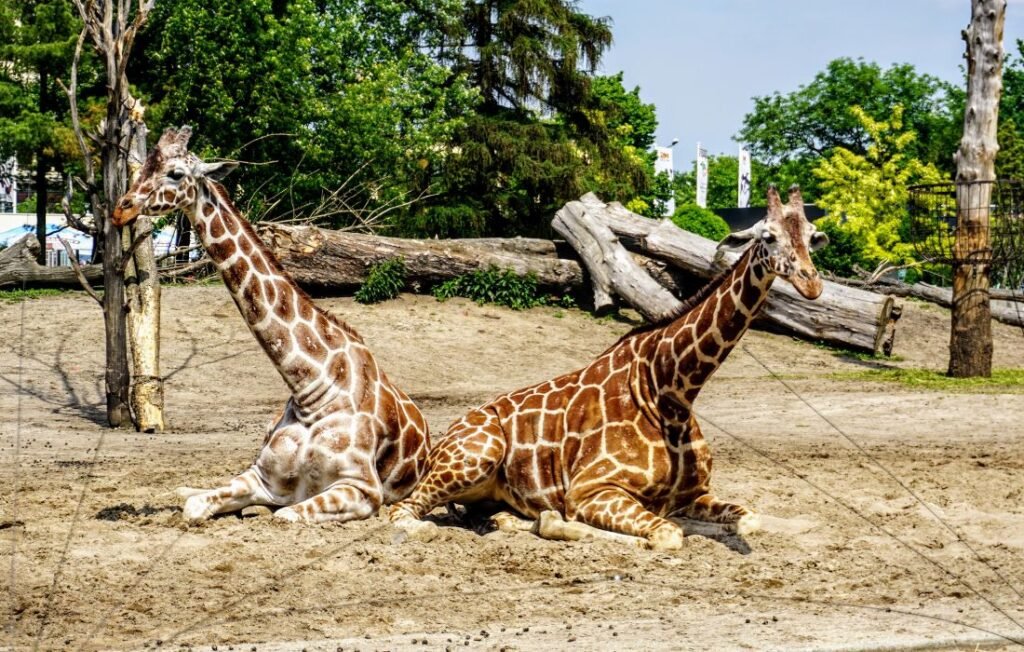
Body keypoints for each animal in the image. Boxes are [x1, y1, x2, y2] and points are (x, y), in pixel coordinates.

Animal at [112, 126, 429, 524]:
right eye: (142, 167)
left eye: (175, 173)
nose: (120, 209)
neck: (310, 388)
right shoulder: (261, 476)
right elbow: (195, 505)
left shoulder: (362, 490)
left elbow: (286, 515)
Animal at [389, 185, 828, 550]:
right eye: (767, 236)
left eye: (811, 236)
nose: (812, 284)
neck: (671, 389)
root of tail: (442, 439)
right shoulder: (592, 489)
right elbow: (667, 534)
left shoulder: (695, 494)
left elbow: (748, 519)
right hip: (478, 454)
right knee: (402, 512)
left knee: (489, 514)